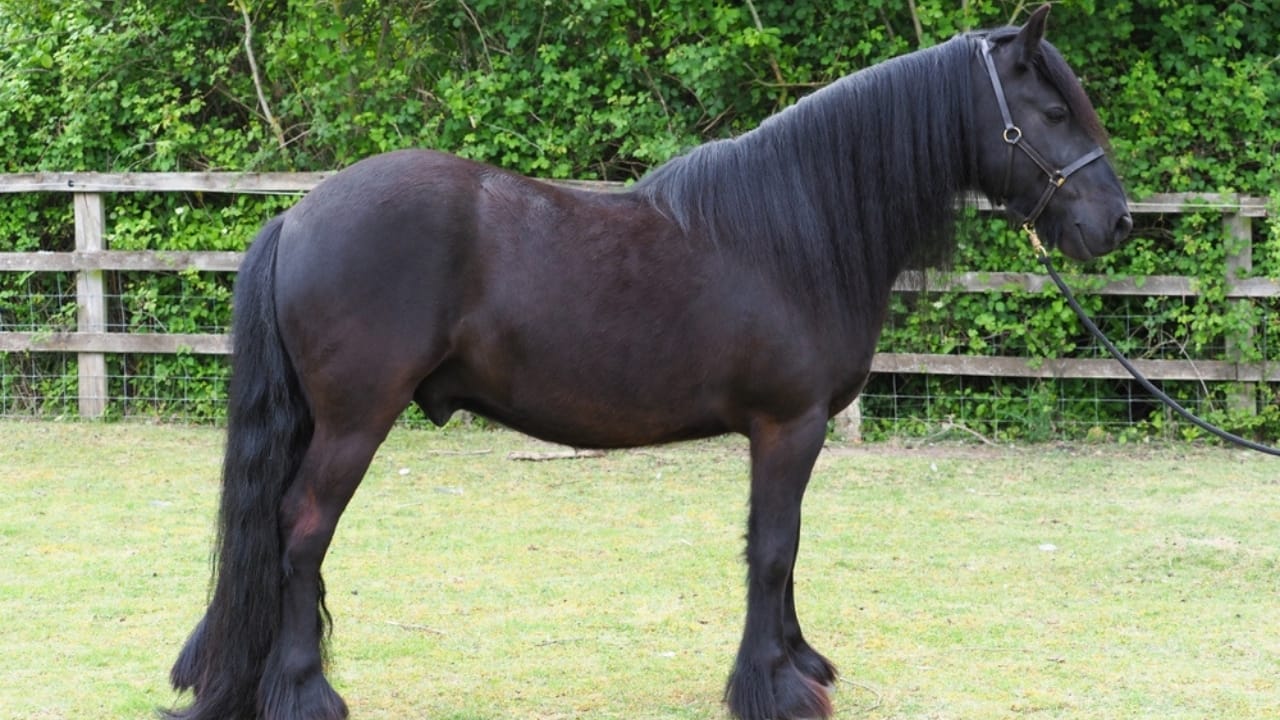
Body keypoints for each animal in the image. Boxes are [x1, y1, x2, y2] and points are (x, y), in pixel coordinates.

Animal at [168, 6, 1131, 720]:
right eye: (1051, 113)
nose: (1115, 222)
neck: (797, 230)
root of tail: (298, 215)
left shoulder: (790, 432)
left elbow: (782, 548)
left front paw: (801, 661)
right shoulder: (788, 425)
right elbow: (772, 547)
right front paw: (773, 687)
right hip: (355, 421)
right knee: (301, 531)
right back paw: (306, 693)